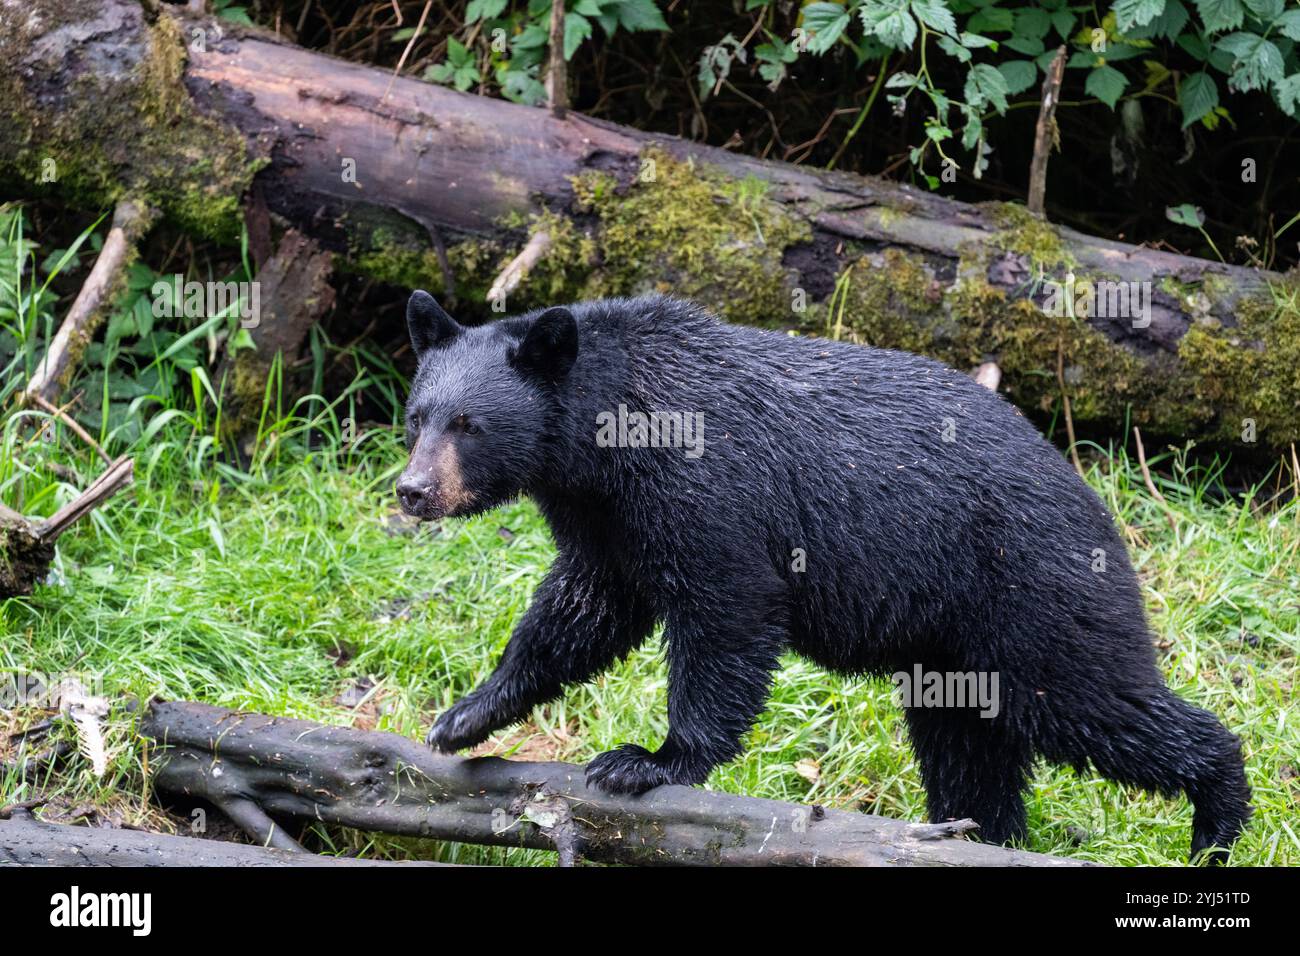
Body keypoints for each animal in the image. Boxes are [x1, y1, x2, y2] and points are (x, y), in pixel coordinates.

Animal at [397, 287, 1248, 858]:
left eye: (470, 424)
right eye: (417, 418)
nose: (412, 490)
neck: (608, 440)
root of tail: (1095, 500)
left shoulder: (707, 494)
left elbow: (727, 612)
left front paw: (648, 761)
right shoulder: (606, 523)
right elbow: (579, 612)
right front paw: (466, 714)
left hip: (1030, 589)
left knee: (1091, 699)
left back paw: (1219, 815)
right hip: (950, 646)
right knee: (967, 747)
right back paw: (978, 835)